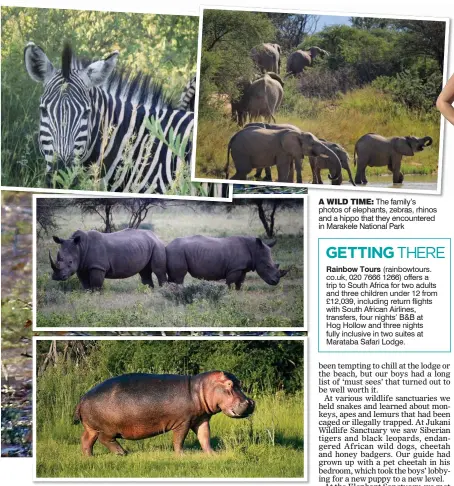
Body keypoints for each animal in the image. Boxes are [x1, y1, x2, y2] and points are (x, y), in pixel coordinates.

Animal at [72, 372, 254, 456]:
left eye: (239, 383)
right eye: (229, 384)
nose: (249, 403)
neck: (200, 389)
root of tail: (83, 398)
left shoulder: (201, 419)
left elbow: (205, 437)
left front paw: (212, 454)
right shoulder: (183, 422)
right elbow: (179, 439)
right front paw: (181, 455)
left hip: (91, 427)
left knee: (86, 440)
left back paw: (89, 457)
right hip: (107, 428)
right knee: (105, 440)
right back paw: (122, 453)